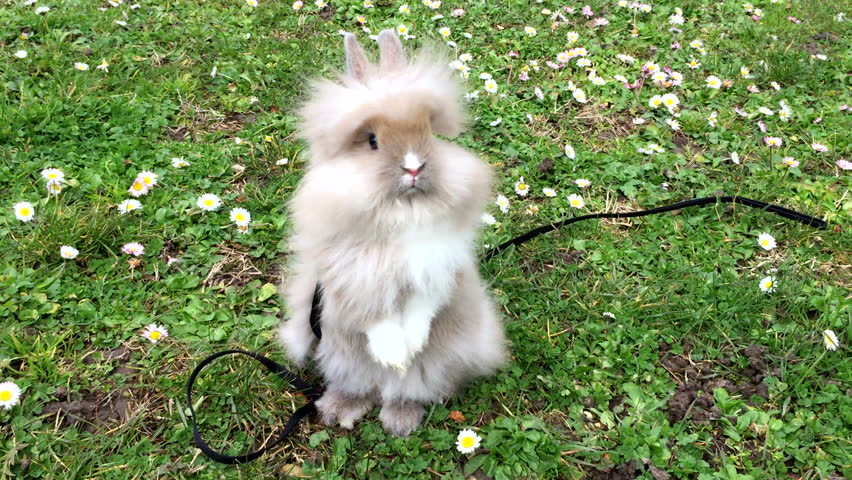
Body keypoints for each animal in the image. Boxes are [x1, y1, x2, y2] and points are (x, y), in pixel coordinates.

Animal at [277, 29, 507, 437]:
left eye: (428, 131)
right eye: (372, 141)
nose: (414, 167)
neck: (402, 215)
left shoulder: (438, 272)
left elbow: (420, 311)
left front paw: (407, 350)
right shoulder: (348, 281)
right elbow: (374, 319)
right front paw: (393, 353)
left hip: (435, 362)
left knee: (407, 388)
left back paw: (400, 419)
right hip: (341, 356)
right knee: (358, 384)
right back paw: (340, 409)